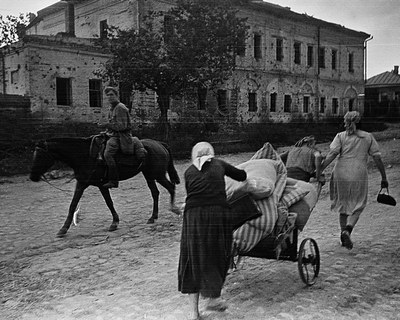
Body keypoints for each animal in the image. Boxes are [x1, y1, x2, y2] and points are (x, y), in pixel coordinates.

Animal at [29, 136, 181, 236]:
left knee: (170, 187)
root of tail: (159, 143)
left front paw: (114, 223)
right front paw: (64, 228)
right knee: (155, 193)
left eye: (40, 155)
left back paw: (174, 209)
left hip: (158, 175)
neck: (85, 156)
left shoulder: (98, 184)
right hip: (149, 175)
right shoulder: (84, 184)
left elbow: (108, 203)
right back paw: (153, 217)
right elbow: (74, 205)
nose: (32, 177)